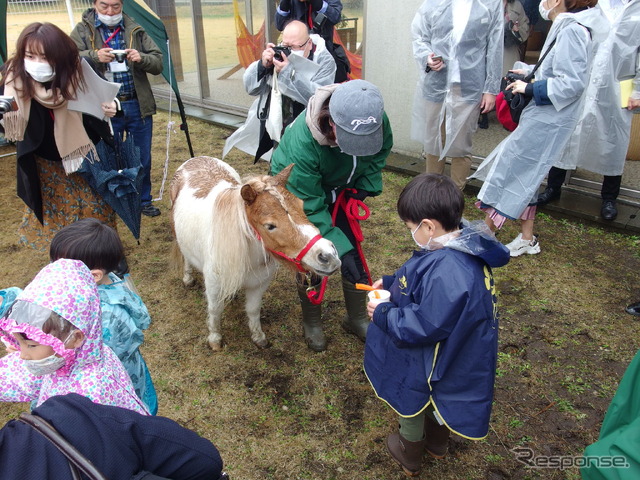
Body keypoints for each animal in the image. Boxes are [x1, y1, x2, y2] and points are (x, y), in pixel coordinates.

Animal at [169, 157, 340, 348]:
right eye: (270, 225)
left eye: (302, 206)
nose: (328, 256)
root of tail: (196, 159)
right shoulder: (213, 286)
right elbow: (215, 310)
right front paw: (215, 339)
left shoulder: (259, 284)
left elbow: (253, 310)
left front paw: (258, 337)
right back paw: (188, 278)